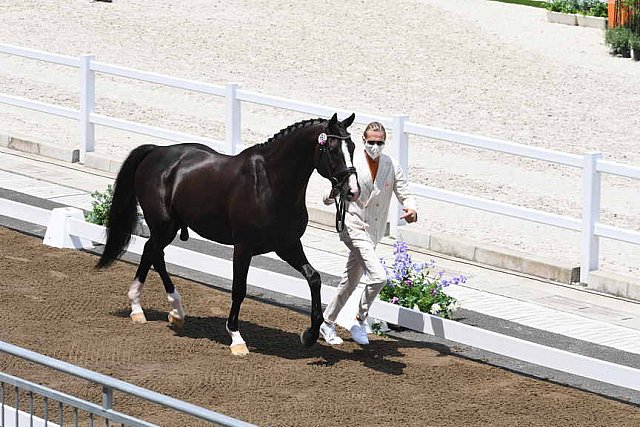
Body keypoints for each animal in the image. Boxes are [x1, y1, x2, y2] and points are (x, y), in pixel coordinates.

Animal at [95, 113, 360, 354]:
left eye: (353, 147)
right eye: (333, 149)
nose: (352, 191)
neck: (270, 183)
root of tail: (156, 151)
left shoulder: (288, 245)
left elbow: (314, 278)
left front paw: (310, 334)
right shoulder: (243, 247)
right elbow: (239, 289)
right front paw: (236, 338)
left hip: (169, 227)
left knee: (153, 253)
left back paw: (169, 312)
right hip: (163, 225)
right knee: (152, 252)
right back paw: (143, 309)